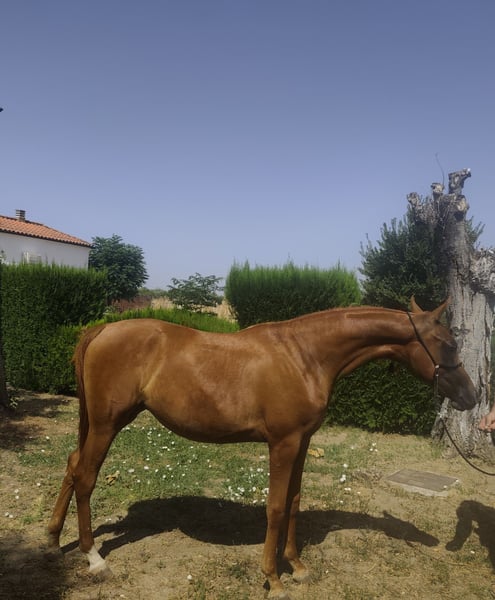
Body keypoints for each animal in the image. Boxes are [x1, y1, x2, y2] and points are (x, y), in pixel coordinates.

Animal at [46, 298, 477, 599]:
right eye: (448, 344)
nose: (470, 396)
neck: (304, 356)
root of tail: (102, 330)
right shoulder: (282, 444)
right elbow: (275, 507)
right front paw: (274, 579)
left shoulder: (303, 441)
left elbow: (295, 501)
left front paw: (297, 566)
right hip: (107, 424)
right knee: (85, 476)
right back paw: (93, 557)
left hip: (99, 424)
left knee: (72, 465)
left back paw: (52, 539)